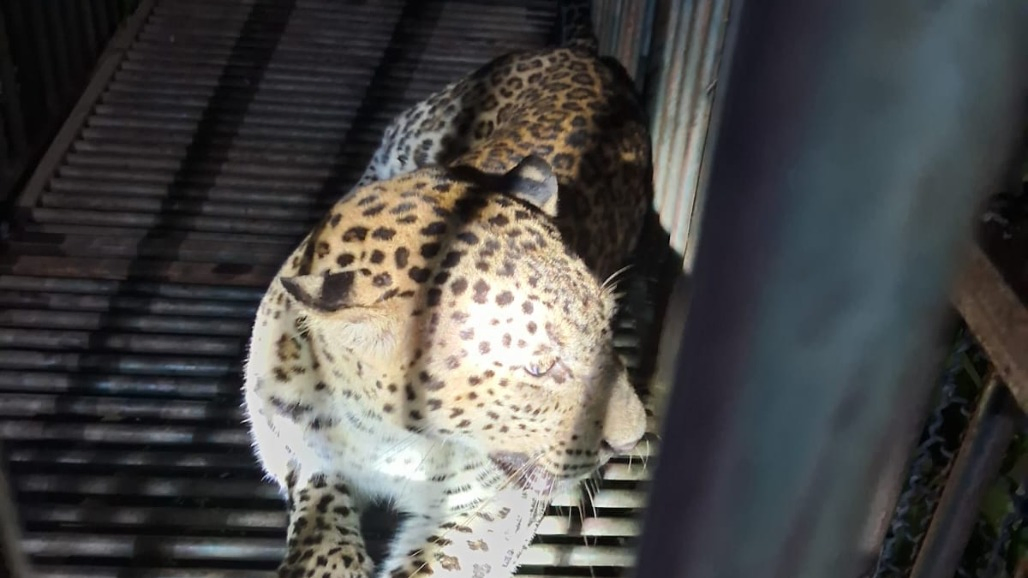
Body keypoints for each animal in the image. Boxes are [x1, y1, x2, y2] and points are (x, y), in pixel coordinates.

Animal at [242, 1, 655, 576]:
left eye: (607, 326)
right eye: (538, 368)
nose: (632, 439)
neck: (388, 437)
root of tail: (583, 55)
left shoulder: (488, 509)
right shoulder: (284, 429)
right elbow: (320, 498)